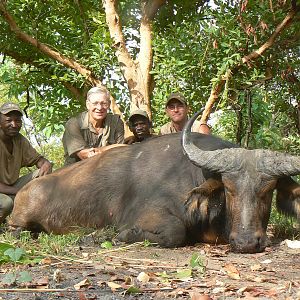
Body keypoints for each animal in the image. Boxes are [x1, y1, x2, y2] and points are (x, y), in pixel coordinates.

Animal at [8, 112, 298, 253]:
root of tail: (27, 190)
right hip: (18, 221)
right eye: (229, 189)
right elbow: (174, 232)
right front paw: (112, 236)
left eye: (268, 191)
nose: (248, 242)